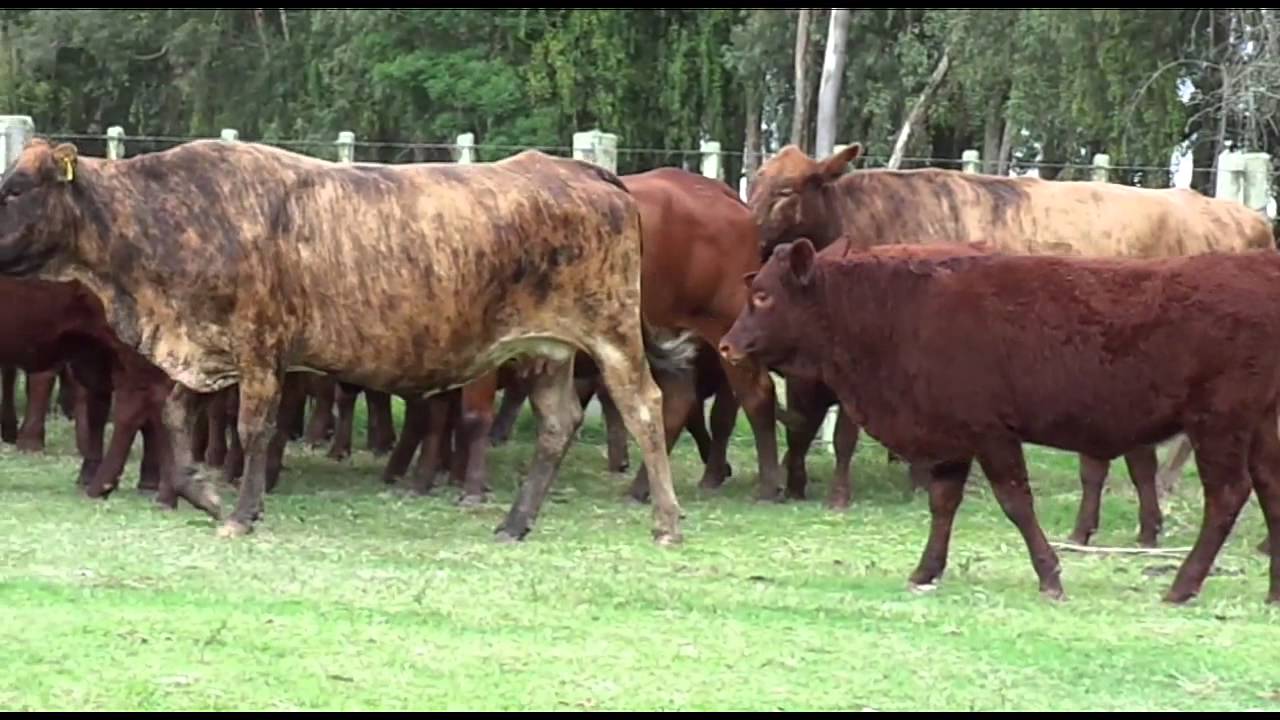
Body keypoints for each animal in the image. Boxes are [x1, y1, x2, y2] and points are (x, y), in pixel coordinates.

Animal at [0, 137, 692, 545]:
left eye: (15, 188)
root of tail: (576, 166)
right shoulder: (207, 350)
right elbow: (172, 418)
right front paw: (206, 495)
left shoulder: (260, 348)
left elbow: (254, 430)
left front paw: (241, 513)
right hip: (548, 350)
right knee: (558, 422)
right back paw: (515, 522)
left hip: (611, 331)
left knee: (644, 408)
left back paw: (665, 521)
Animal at [719, 238, 1280, 604]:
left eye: (763, 295)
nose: (726, 345)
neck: (895, 307)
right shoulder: (951, 439)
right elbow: (942, 504)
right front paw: (925, 570)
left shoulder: (991, 434)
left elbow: (1015, 502)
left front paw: (1051, 577)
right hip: (1259, 430)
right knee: (1269, 491)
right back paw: (1271, 592)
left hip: (1218, 425)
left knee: (1228, 496)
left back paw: (1182, 586)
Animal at [747, 143, 1276, 548]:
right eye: (755, 181)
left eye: (787, 190)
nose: (753, 237)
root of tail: (1247, 220)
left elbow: (846, 433)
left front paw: (847, 494)